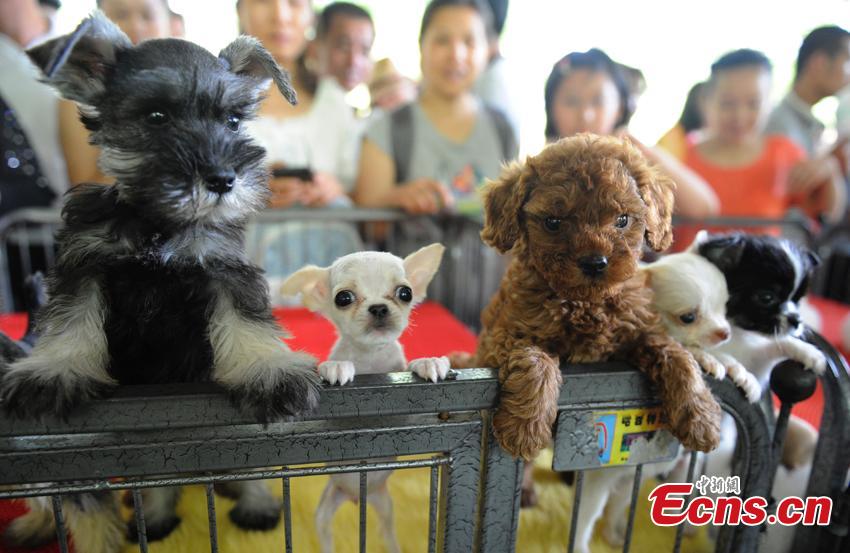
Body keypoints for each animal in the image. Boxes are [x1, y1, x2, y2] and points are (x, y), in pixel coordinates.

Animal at [0, 12, 318, 548]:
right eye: (155, 118)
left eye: (233, 120)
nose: (223, 179)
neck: (159, 223)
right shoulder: (85, 263)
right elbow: (71, 319)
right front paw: (54, 370)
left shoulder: (224, 267)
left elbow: (247, 322)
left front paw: (267, 369)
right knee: (161, 480)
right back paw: (157, 516)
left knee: (247, 471)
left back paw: (255, 505)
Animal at [280, 243, 450, 553]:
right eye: (343, 298)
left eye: (405, 293)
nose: (379, 307)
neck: (371, 361)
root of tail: (357, 497)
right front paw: (336, 367)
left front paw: (428, 362)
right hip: (328, 504)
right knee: (325, 534)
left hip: (384, 504)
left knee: (387, 531)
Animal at [474, 135, 720, 462]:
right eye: (553, 222)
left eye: (622, 219)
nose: (594, 263)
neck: (587, 302)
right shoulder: (502, 336)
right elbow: (536, 359)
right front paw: (524, 429)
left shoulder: (641, 333)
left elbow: (679, 357)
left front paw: (702, 419)